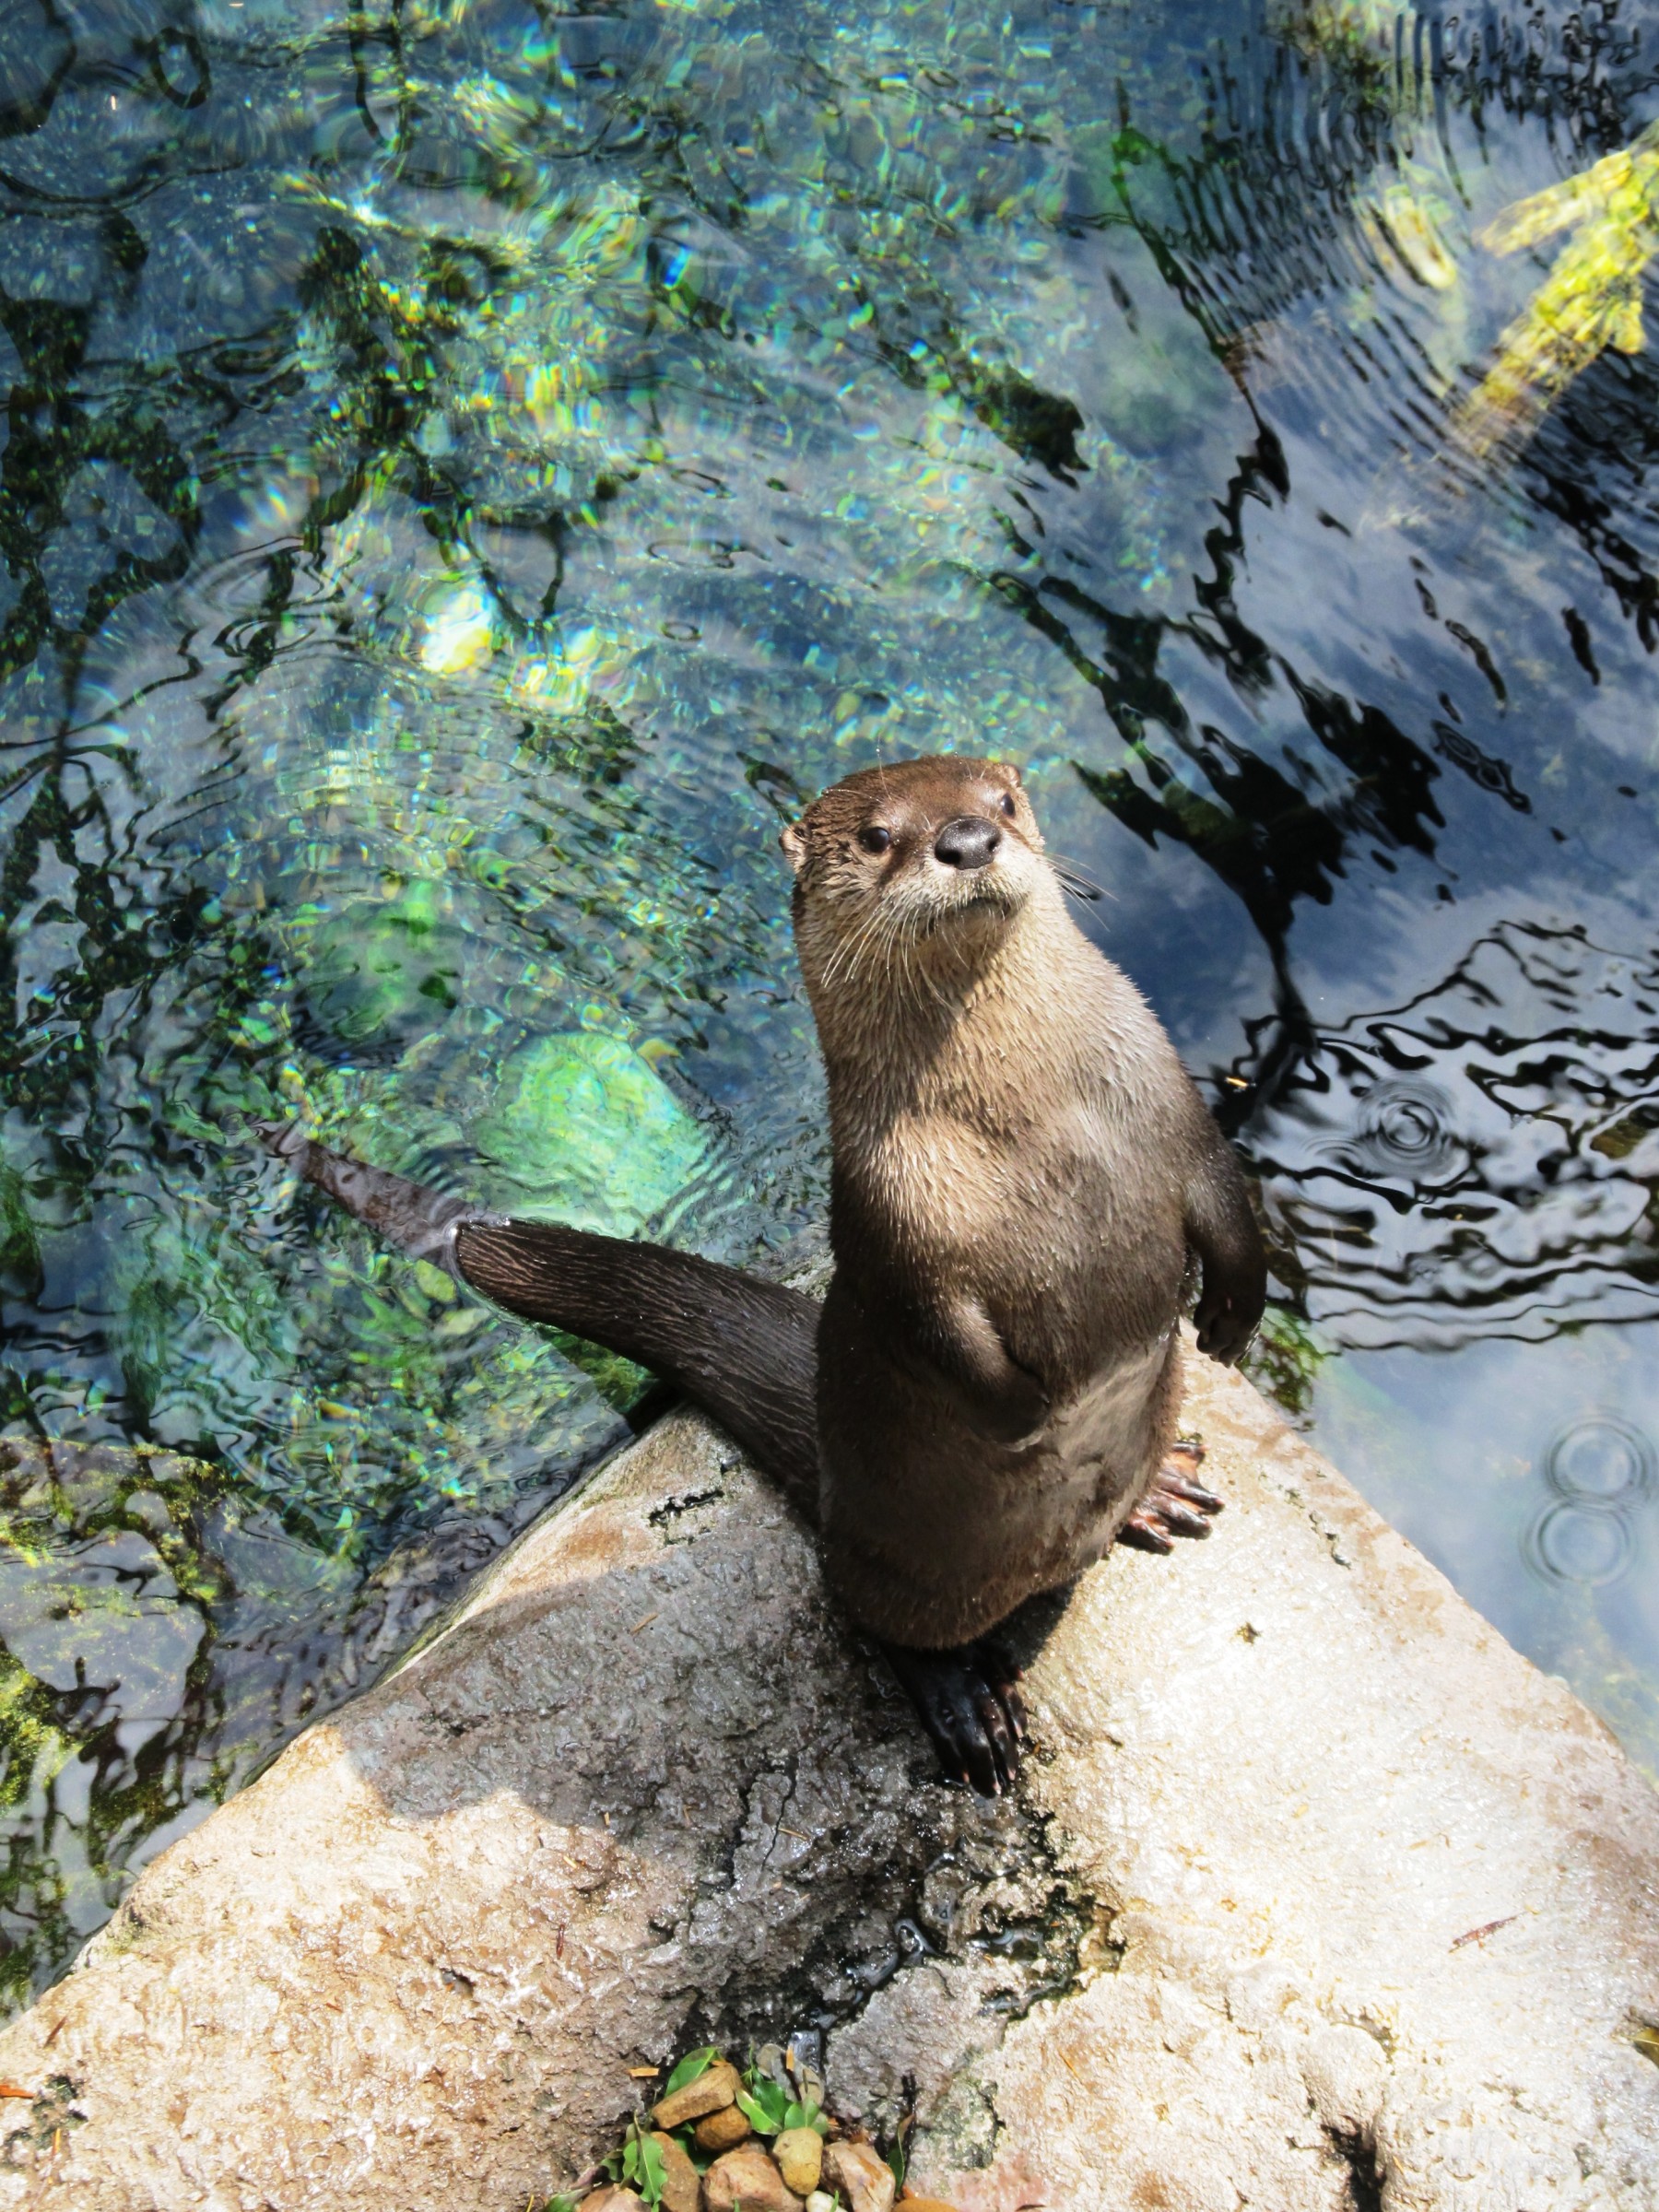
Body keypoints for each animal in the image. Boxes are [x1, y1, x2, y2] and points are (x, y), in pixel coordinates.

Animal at [260, 755, 1264, 1794]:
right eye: (877, 836)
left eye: (1005, 802)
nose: (969, 841)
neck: (1040, 1123)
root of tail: (830, 1487)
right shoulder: (894, 1211)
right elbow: (940, 1330)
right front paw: (1036, 1421)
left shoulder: (1164, 1090)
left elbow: (1226, 1193)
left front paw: (1233, 1317)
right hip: (901, 1560)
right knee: (873, 1616)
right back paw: (968, 1706)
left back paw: (1158, 1488)